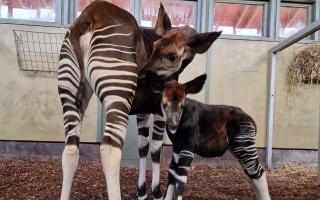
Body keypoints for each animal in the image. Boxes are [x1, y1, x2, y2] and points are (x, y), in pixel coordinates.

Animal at [147, 72, 270, 200]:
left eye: (182, 105)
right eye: (164, 104)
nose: (173, 125)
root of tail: (250, 119)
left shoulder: (188, 146)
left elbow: (181, 180)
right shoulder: (177, 146)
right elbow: (172, 174)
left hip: (243, 145)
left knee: (257, 172)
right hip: (239, 148)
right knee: (252, 173)